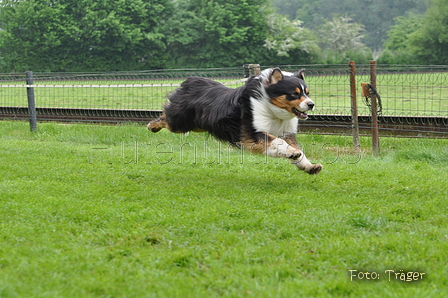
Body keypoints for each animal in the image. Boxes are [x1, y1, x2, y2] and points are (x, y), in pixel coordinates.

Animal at [149, 67, 324, 175]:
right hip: (180, 122)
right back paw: (152, 126)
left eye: (307, 93)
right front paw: (293, 153)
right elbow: (278, 142)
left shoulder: (286, 132)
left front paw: (309, 166)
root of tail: (191, 81)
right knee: (166, 117)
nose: (311, 104)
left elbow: (296, 149)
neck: (271, 109)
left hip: (198, 125)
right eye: (294, 94)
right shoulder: (252, 133)